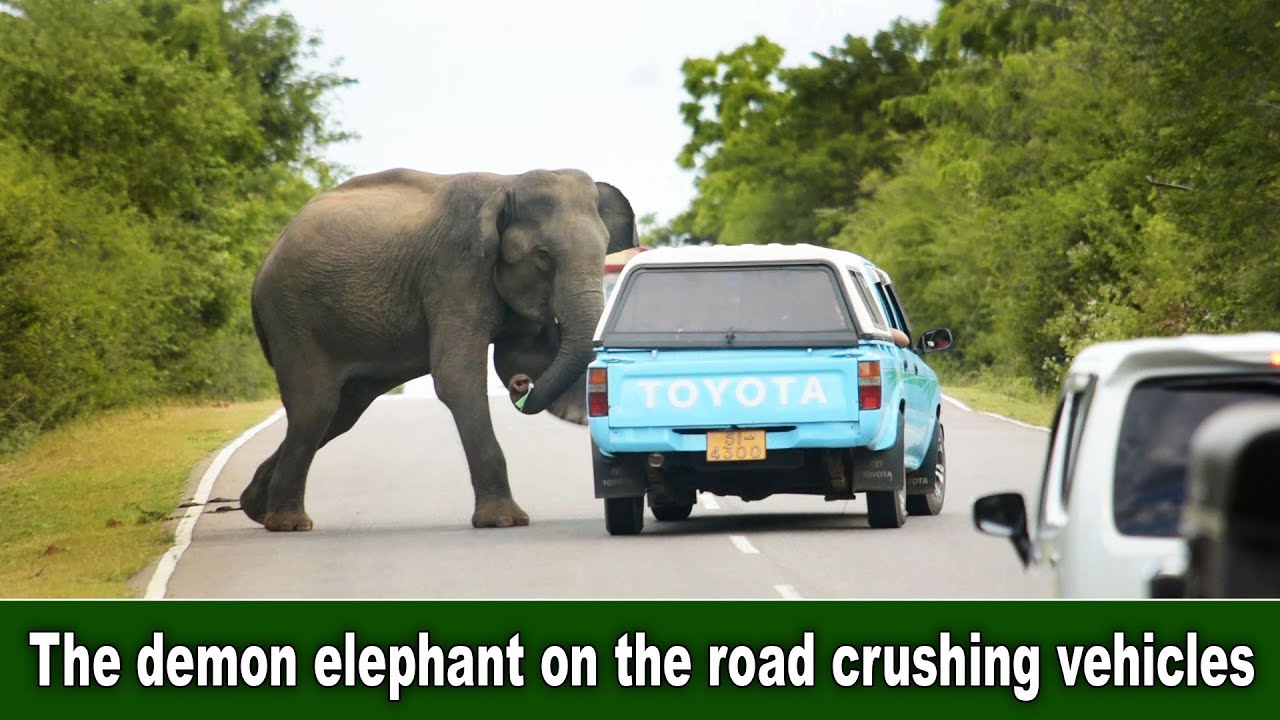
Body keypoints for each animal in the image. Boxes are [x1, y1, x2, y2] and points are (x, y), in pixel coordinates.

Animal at [243, 168, 638, 532]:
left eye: (603, 251)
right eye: (543, 257)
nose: (521, 385)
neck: (508, 183)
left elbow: (524, 358)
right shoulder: (455, 271)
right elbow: (457, 379)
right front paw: (504, 522)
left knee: (342, 412)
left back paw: (255, 508)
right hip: (292, 317)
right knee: (317, 408)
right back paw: (288, 523)